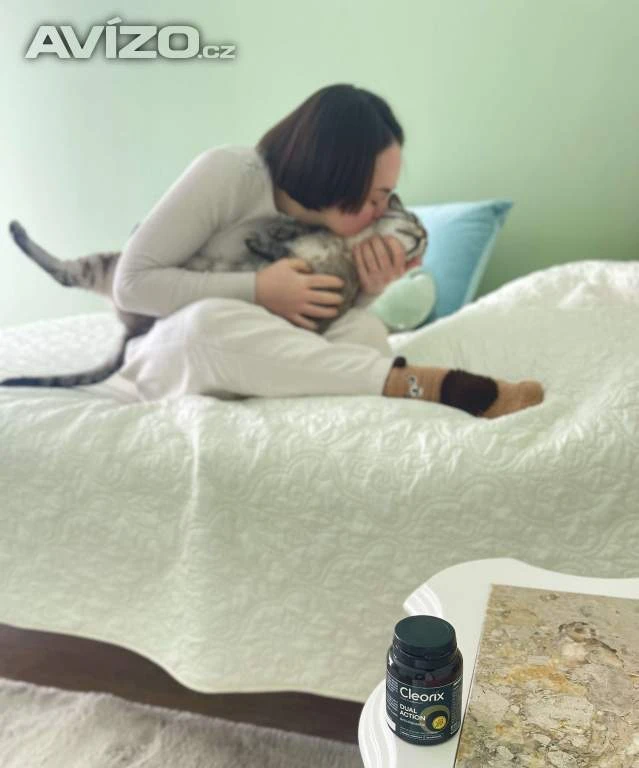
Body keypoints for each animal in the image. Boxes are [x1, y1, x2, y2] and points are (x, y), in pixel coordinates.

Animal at [2, 193, 427, 388]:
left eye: (423, 237)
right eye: (414, 222)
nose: (425, 239)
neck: (346, 245)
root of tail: (132, 328)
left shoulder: (323, 292)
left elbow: (289, 260)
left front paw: (270, 243)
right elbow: (288, 237)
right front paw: (276, 233)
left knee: (67, 275)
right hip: (117, 266)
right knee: (70, 271)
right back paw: (18, 229)